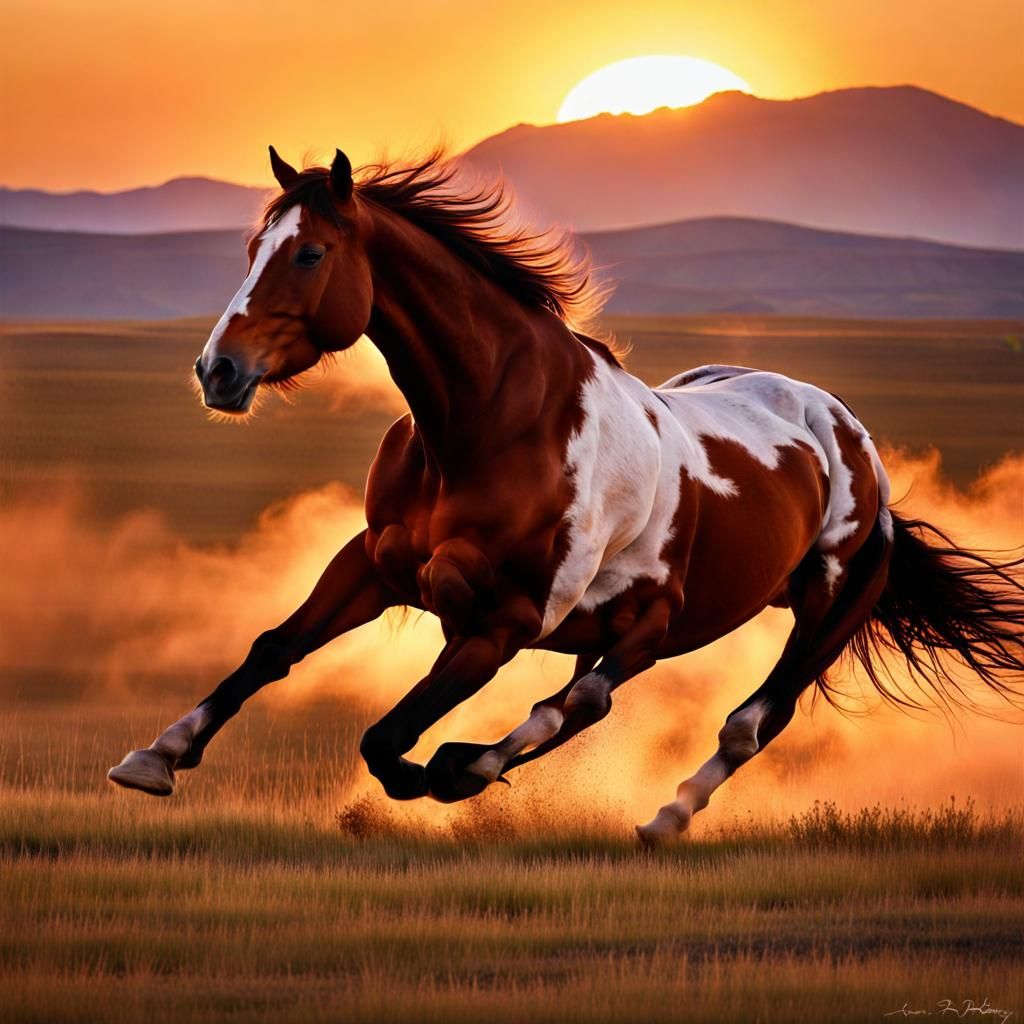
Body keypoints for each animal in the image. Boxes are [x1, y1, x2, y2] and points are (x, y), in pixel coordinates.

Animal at [109, 147, 1024, 843]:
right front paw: (156, 756)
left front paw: (442, 769)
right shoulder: (371, 566)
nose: (218, 371)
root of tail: (850, 440)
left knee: (736, 719)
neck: (487, 425)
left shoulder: (502, 620)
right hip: (634, 623)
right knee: (589, 698)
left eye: (309, 255)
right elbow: (275, 650)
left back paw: (647, 814)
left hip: (807, 612)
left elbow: (388, 736)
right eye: (251, 249)